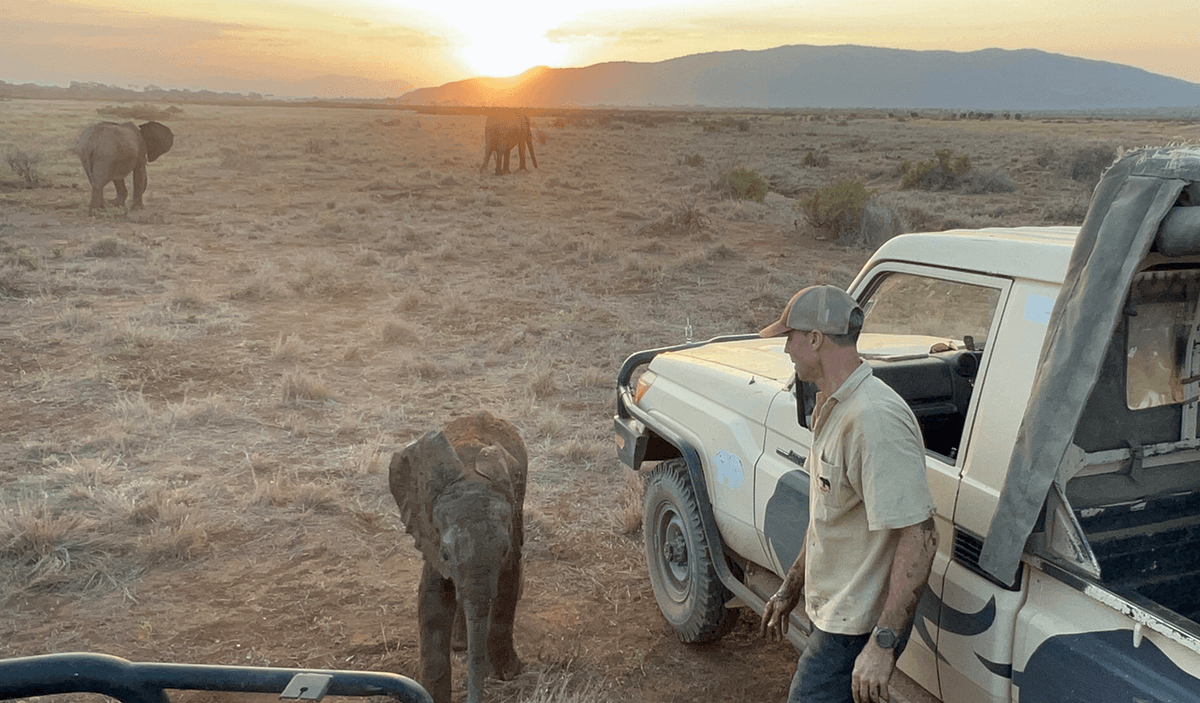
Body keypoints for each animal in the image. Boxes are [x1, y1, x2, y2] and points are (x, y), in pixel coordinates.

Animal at [388, 411, 528, 703]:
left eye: (504, 551)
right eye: (445, 553)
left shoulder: (513, 525)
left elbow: (507, 586)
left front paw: (508, 673)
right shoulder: (429, 530)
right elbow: (432, 602)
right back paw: (460, 644)